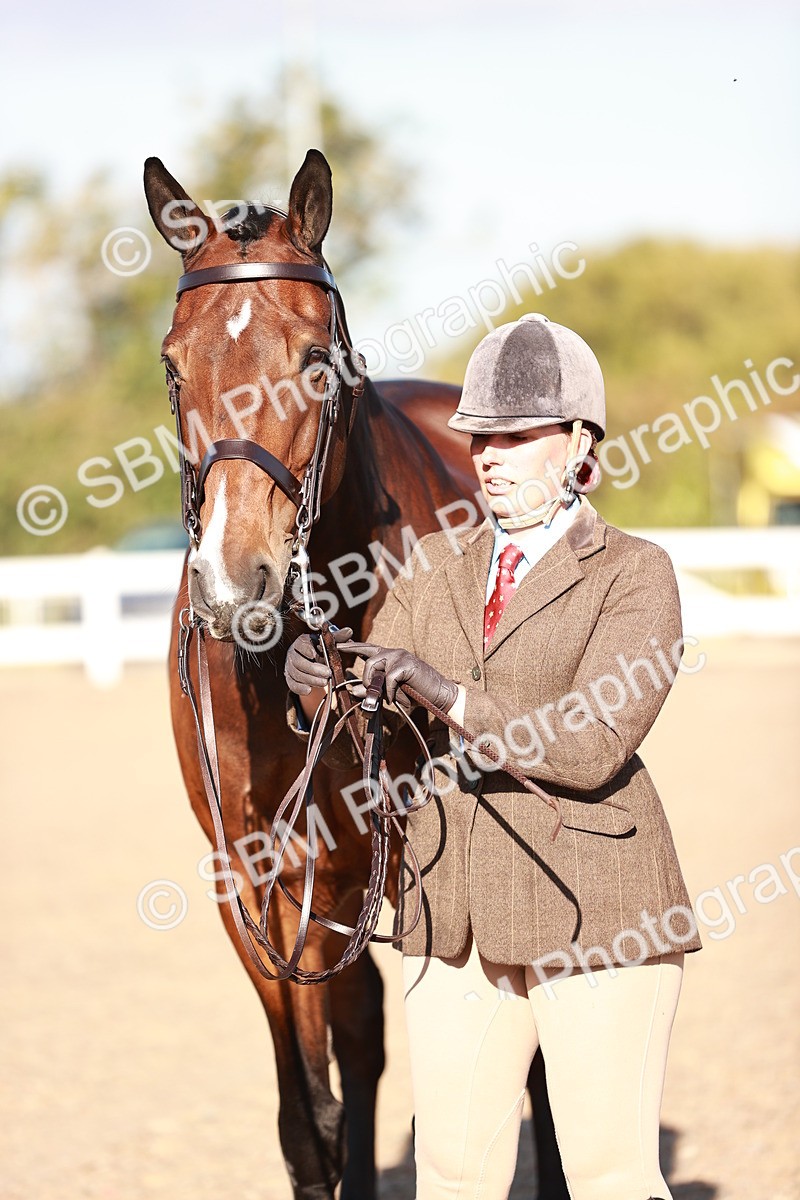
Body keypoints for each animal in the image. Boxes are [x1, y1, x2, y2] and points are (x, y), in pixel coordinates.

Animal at [144, 148, 567, 1200]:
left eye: (313, 359)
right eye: (173, 363)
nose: (234, 579)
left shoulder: (395, 868)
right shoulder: (257, 889)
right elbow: (312, 1119)